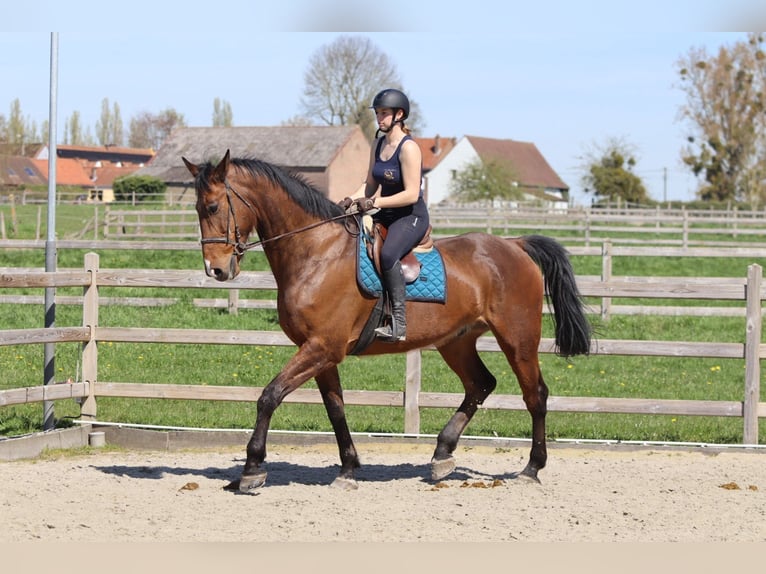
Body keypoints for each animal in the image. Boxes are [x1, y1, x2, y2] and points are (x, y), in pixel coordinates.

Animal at [182, 150, 592, 493]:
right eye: (197, 209)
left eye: (214, 206)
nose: (216, 270)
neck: (317, 251)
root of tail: (515, 244)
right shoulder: (320, 352)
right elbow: (335, 408)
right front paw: (347, 469)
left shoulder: (321, 348)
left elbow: (269, 396)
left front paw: (252, 468)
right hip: (456, 340)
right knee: (480, 384)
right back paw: (442, 455)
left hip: (518, 338)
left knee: (535, 395)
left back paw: (531, 468)